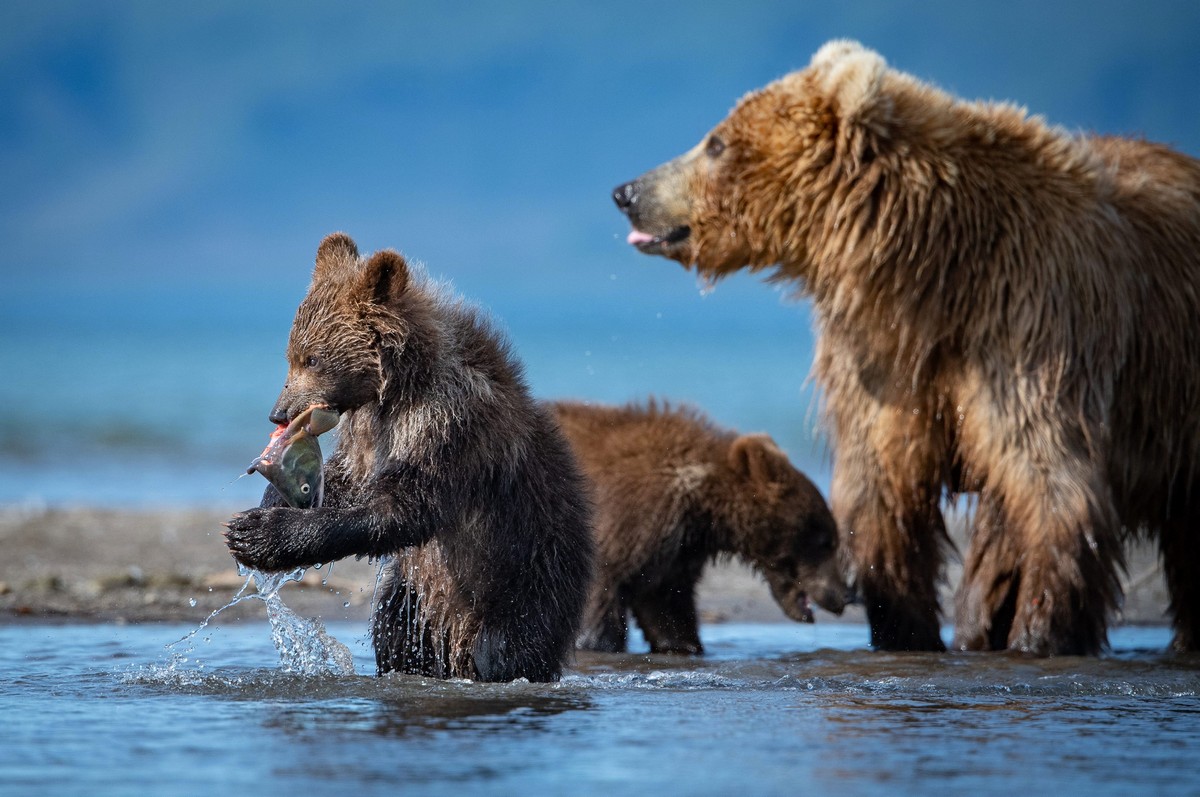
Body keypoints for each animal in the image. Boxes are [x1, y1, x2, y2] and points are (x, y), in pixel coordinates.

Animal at [222, 234, 595, 681]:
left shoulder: (448, 426)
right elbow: (348, 479)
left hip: (526, 573)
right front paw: (264, 508)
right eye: (291, 355)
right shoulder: (368, 434)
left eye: (312, 358)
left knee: (506, 646)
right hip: (418, 594)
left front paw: (262, 533)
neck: (396, 387)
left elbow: (401, 508)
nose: (279, 413)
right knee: (395, 626)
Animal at [554, 398, 854, 652]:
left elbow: (668, 608)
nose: (844, 595)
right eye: (825, 541)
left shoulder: (673, 554)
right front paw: (594, 643)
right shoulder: (625, 521)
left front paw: (684, 645)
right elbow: (601, 598)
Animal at [614, 39, 1200, 652]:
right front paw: (904, 627)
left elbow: (1049, 482)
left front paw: (1039, 636)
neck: (934, 276)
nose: (626, 191)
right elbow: (884, 488)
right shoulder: (884, 364)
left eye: (716, 142)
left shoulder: (1032, 325)